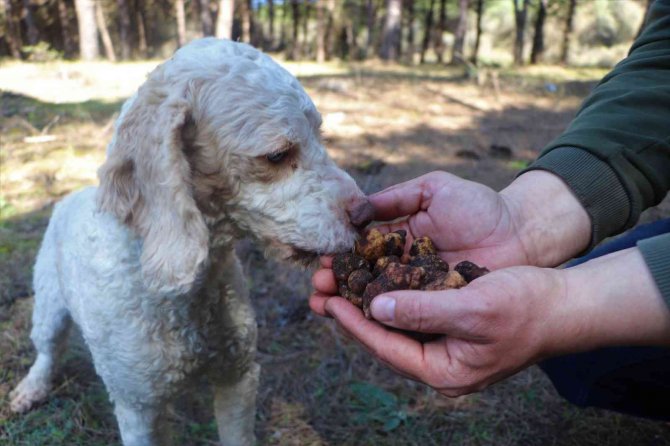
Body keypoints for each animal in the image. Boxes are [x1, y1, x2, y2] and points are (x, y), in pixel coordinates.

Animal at [9, 39, 368, 446]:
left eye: (321, 137)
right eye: (277, 155)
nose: (366, 213)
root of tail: (71, 196)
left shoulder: (238, 377)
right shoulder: (137, 407)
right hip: (48, 304)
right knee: (47, 350)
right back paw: (31, 388)